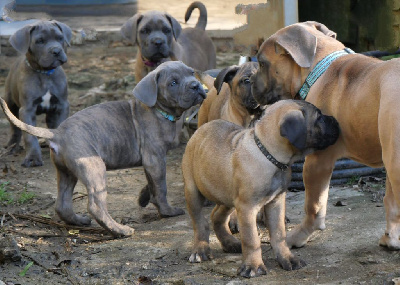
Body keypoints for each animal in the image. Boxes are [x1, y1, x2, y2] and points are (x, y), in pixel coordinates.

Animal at [0, 61, 206, 236]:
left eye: (191, 73)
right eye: (173, 82)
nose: (196, 86)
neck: (160, 111)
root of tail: (57, 133)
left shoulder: (153, 162)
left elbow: (153, 183)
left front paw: (144, 197)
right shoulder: (154, 158)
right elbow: (161, 187)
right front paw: (167, 211)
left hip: (66, 172)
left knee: (62, 204)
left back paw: (79, 221)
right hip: (95, 168)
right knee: (95, 206)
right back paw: (120, 230)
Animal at [4, 20, 72, 166]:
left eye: (60, 38)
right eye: (40, 41)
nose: (56, 51)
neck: (44, 73)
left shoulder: (61, 106)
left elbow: (59, 127)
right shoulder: (27, 110)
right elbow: (29, 136)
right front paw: (33, 158)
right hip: (9, 103)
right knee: (14, 128)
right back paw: (12, 146)